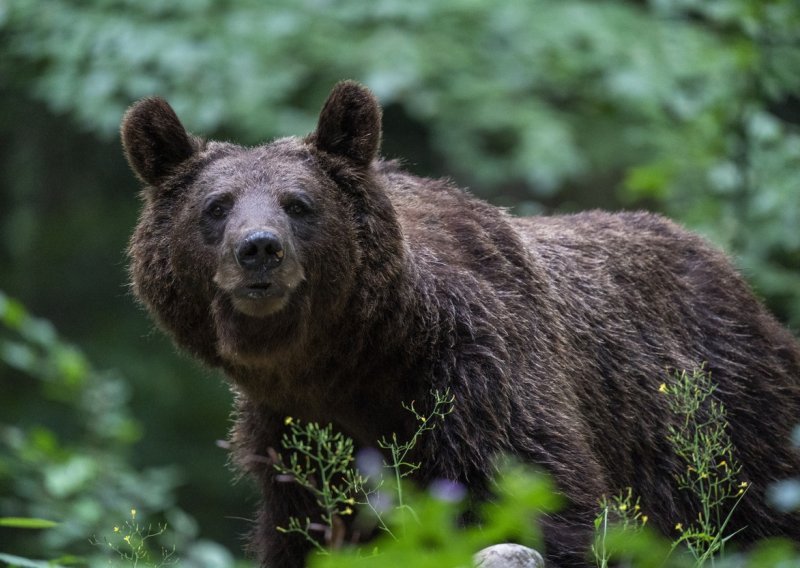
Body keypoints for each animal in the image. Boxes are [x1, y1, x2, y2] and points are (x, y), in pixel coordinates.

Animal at [122, 81, 800, 568]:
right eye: (216, 207)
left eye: (298, 203)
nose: (259, 249)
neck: (352, 360)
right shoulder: (295, 442)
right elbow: (306, 535)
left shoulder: (480, 381)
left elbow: (551, 509)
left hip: (728, 421)